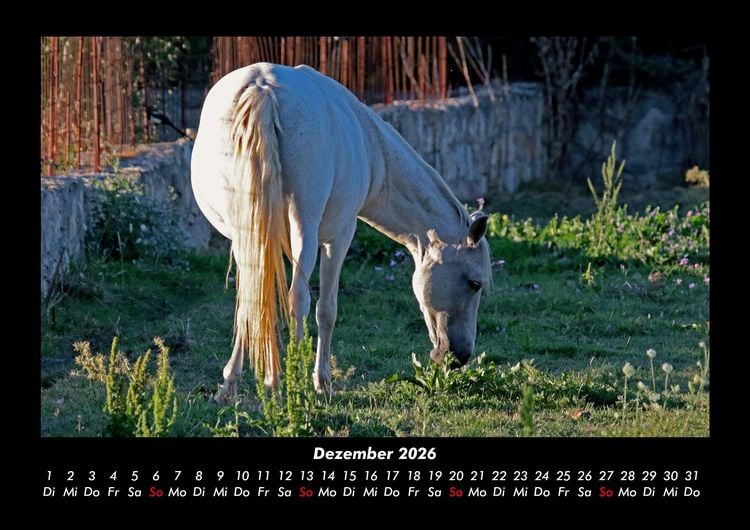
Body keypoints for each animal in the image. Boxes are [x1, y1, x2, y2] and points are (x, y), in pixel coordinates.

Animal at [191, 62, 491, 402]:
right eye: (475, 283)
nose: (461, 356)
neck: (373, 149)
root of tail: (263, 87)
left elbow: (252, 301)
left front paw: (231, 384)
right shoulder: (339, 237)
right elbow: (326, 310)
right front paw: (322, 382)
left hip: (249, 233)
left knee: (253, 298)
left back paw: (241, 386)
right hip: (304, 231)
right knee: (299, 298)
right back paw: (291, 387)